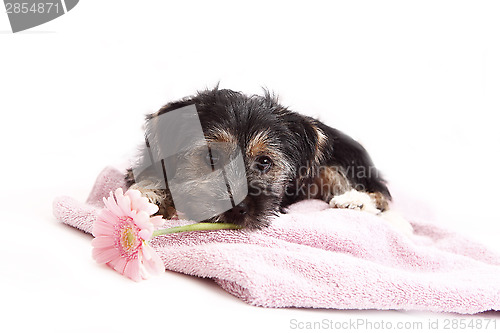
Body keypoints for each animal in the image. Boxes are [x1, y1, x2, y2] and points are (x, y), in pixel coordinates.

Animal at [127, 87, 392, 230]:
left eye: (264, 162)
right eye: (211, 156)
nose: (237, 207)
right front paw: (150, 195)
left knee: (379, 195)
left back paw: (353, 201)